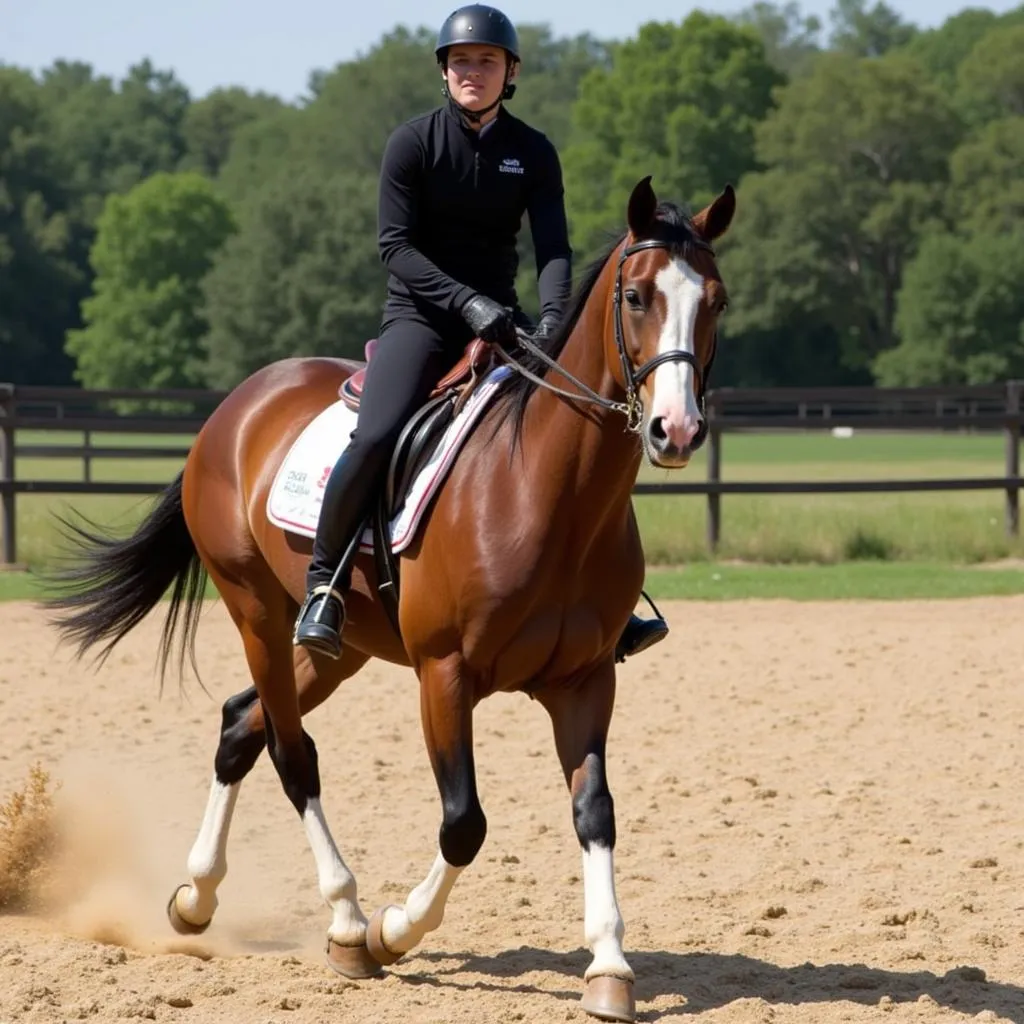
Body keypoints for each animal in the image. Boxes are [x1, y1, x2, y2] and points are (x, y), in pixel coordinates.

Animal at [46, 176, 737, 1024]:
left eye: (716, 301)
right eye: (637, 296)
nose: (677, 429)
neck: (549, 492)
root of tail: (237, 404)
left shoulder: (585, 681)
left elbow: (595, 812)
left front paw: (609, 966)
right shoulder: (444, 675)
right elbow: (464, 824)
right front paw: (391, 931)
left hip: (337, 650)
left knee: (241, 724)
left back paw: (196, 899)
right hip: (258, 615)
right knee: (291, 753)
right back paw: (345, 921)